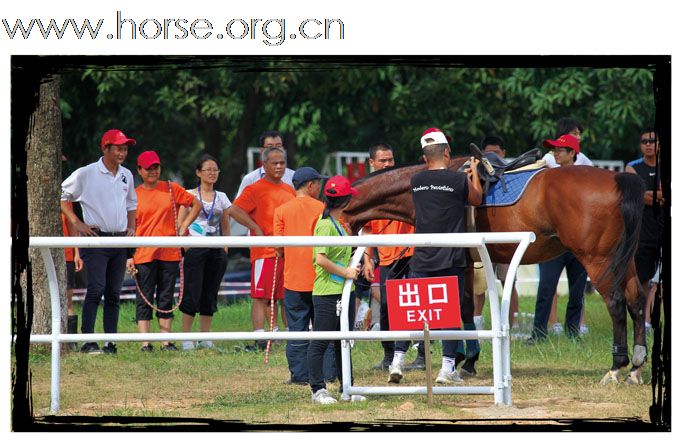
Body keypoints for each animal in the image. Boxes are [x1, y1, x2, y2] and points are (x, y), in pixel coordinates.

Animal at [342, 156, 644, 382]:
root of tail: (617, 178)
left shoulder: (459, 264)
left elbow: (462, 309)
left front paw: (464, 359)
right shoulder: (465, 265)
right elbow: (463, 310)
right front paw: (465, 359)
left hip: (598, 261)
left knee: (616, 304)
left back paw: (616, 367)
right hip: (624, 261)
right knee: (637, 300)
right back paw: (636, 366)